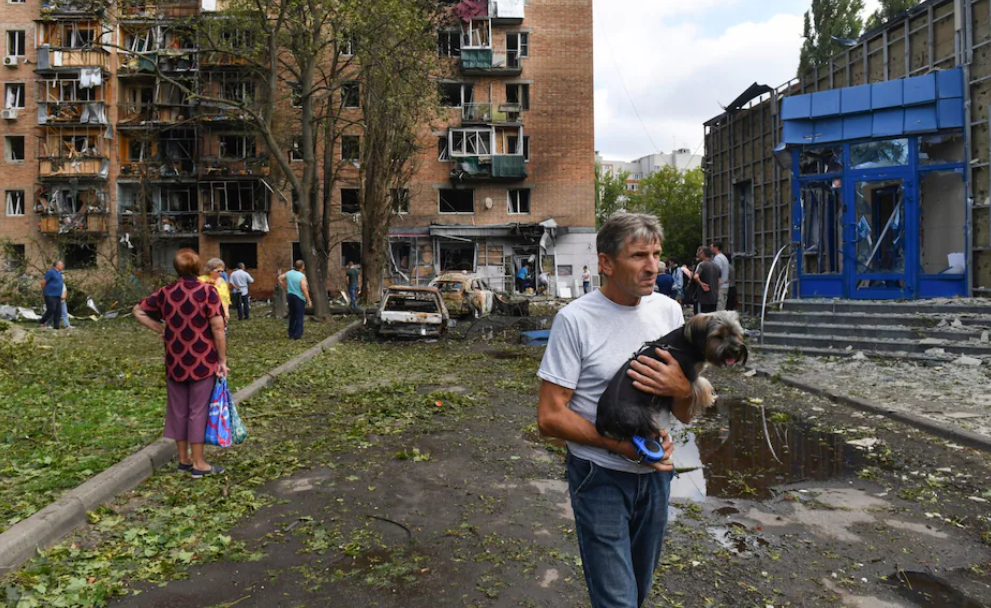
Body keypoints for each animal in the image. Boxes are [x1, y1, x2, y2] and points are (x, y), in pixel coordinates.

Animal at [596, 312, 752, 440]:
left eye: (736, 333)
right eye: (718, 336)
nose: (736, 350)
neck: (690, 343)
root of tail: (604, 421)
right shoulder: (691, 375)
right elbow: (702, 384)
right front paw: (709, 397)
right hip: (644, 421)